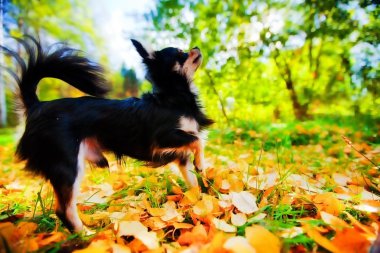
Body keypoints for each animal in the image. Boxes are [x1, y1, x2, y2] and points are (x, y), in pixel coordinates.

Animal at [4, 36, 212, 232]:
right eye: (180, 52)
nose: (196, 47)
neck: (172, 97)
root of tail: (37, 106)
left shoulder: (181, 156)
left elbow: (193, 182)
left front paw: (201, 202)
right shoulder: (161, 140)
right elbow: (198, 140)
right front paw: (201, 164)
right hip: (68, 165)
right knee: (64, 209)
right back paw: (85, 235)